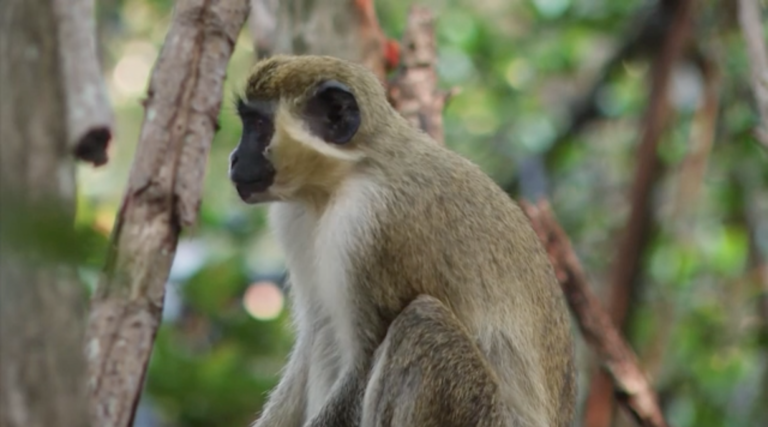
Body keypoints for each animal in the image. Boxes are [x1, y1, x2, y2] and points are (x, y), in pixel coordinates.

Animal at [228, 54, 576, 427]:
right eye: (247, 122)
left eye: (258, 125)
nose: (233, 158)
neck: (344, 177)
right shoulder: (294, 218)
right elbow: (315, 332)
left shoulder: (367, 226)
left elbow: (362, 363)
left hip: (482, 415)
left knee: (421, 323)